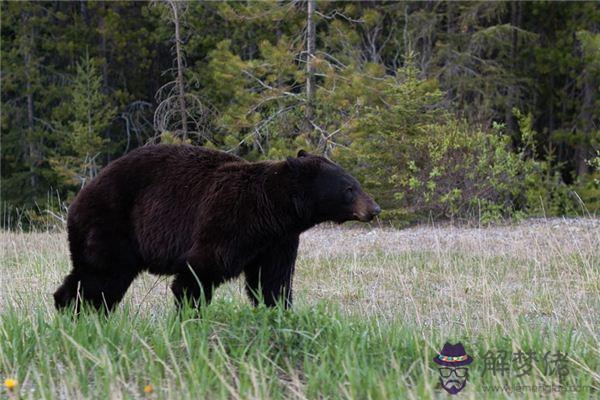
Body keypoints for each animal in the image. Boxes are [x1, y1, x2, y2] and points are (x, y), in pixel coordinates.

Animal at [52, 145, 380, 310]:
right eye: (349, 188)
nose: (374, 208)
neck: (271, 211)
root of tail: (79, 197)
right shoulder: (228, 220)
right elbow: (198, 272)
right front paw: (190, 316)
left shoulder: (278, 241)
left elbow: (272, 281)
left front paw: (279, 314)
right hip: (111, 223)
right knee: (100, 275)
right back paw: (75, 312)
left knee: (98, 280)